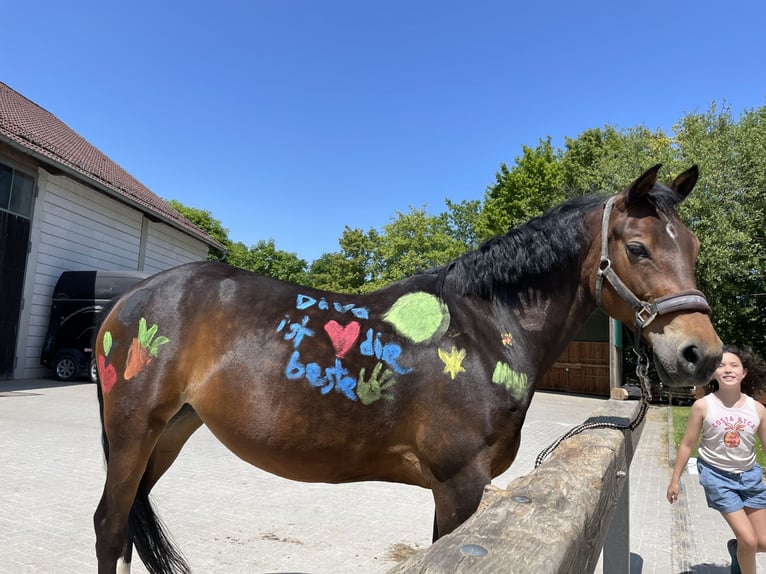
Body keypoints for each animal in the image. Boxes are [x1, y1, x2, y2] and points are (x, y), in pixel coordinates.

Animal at [93, 164, 724, 572]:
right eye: (637, 248)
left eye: (692, 247)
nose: (703, 354)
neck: (481, 328)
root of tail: (130, 301)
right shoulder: (459, 483)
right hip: (132, 432)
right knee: (108, 529)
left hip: (170, 433)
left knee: (123, 534)